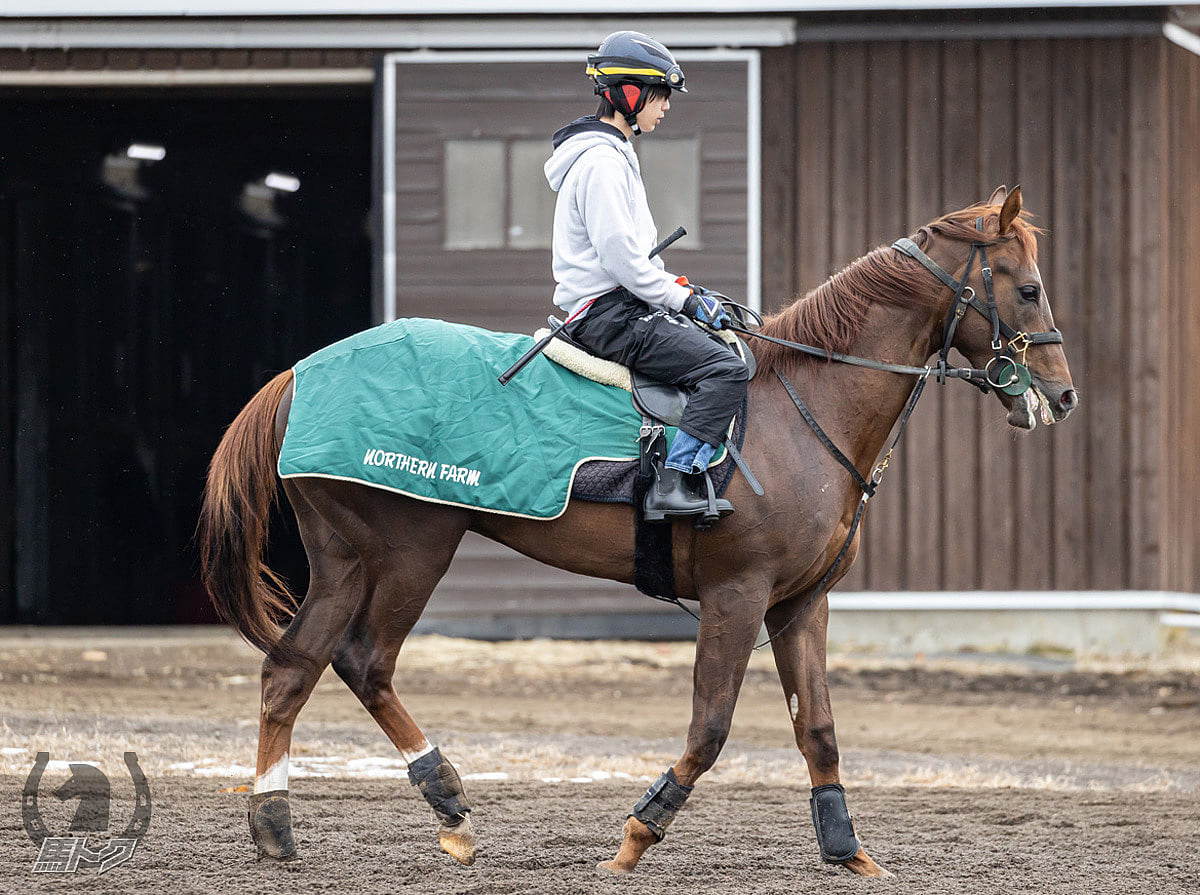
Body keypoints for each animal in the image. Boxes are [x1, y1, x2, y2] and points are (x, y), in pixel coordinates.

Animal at [199, 184, 1080, 873]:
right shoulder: (737, 594)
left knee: (292, 669)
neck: (803, 406)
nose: (1063, 395)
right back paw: (447, 801)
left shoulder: (801, 601)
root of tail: (305, 370)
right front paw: (636, 832)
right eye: (1028, 287)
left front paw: (848, 849)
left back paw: (278, 824)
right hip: (414, 547)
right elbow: (712, 725)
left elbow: (820, 729)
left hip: (344, 558)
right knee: (366, 662)